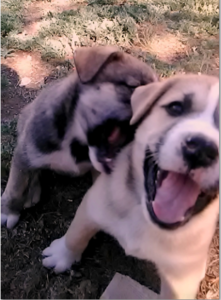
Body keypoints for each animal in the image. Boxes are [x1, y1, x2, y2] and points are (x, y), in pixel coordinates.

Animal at [41, 74, 219, 298]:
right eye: (176, 107)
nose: (201, 149)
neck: (143, 215)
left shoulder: (180, 280)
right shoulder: (92, 205)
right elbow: (76, 234)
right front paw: (61, 255)